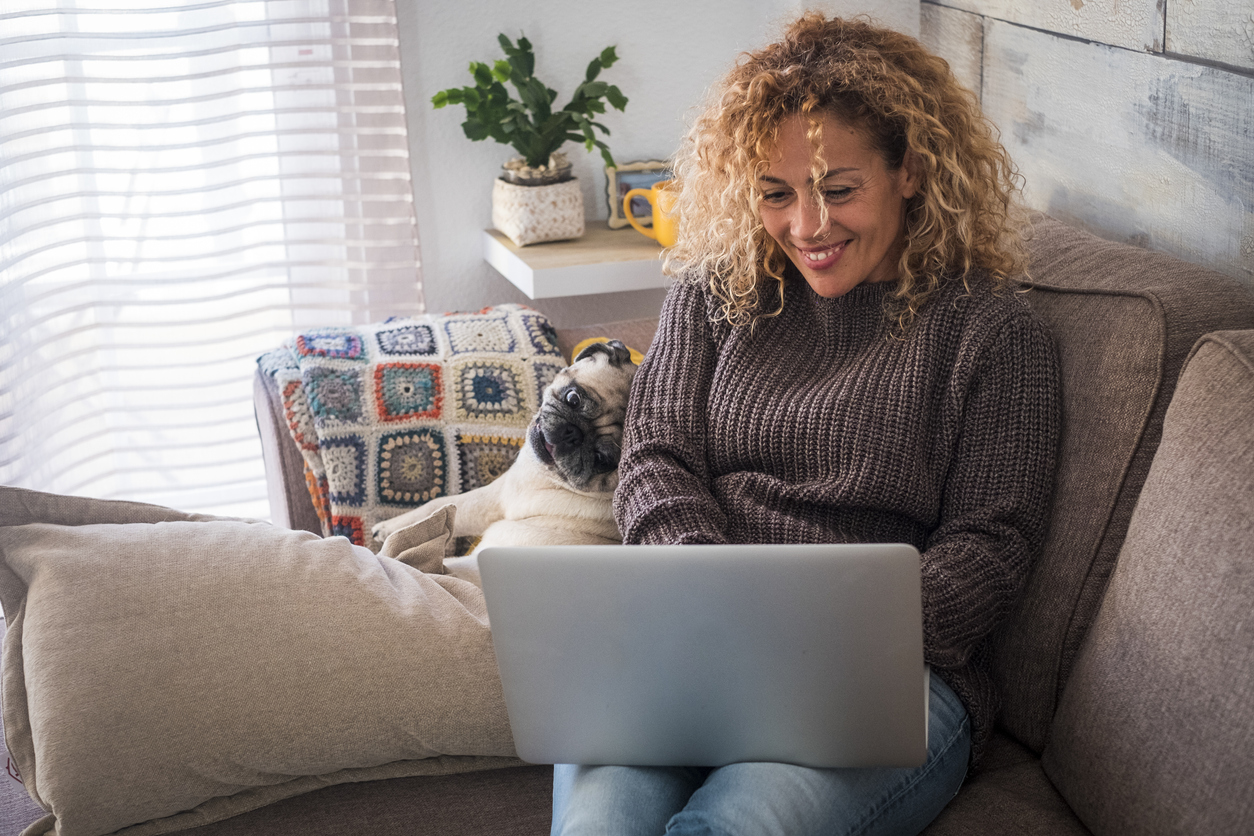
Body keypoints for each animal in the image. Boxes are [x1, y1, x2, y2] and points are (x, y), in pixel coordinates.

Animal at [366, 340, 632, 556]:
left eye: (602, 459)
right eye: (573, 398)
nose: (572, 434)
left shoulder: (492, 499)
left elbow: (435, 506)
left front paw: (387, 528)